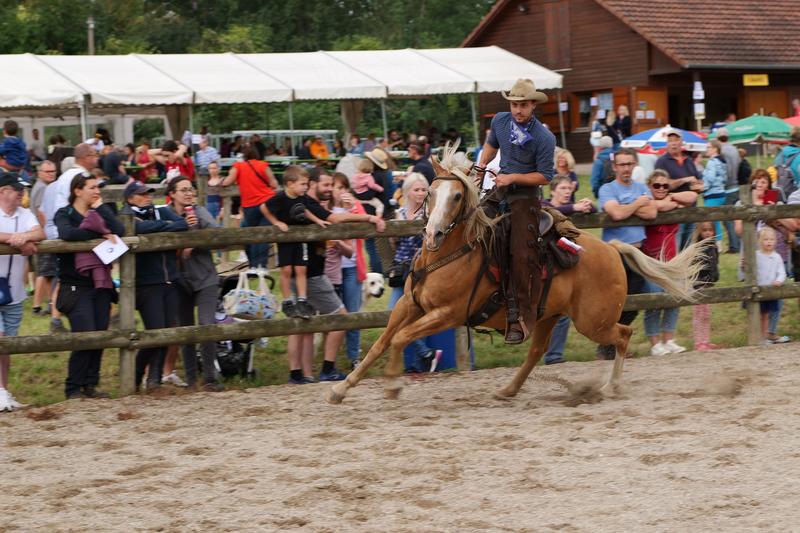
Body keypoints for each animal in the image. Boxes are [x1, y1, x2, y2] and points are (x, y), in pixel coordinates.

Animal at [328, 144, 704, 404]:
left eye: (458, 196)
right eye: (431, 192)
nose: (432, 234)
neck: (450, 255)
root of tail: (611, 250)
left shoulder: (448, 314)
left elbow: (401, 339)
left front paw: (392, 384)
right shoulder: (410, 304)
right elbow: (382, 342)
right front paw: (342, 388)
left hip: (592, 321)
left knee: (623, 335)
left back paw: (612, 385)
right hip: (546, 315)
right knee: (537, 351)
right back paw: (508, 389)